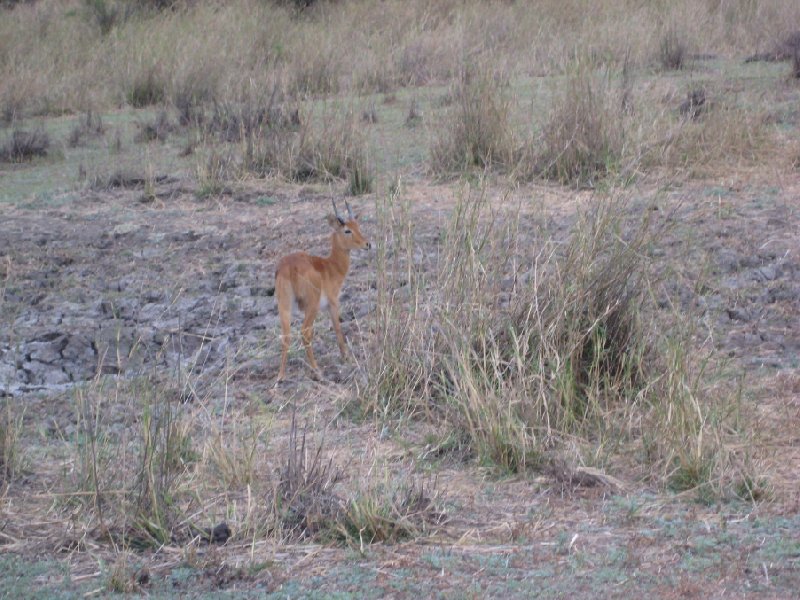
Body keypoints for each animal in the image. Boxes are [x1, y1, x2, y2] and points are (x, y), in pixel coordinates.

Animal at [276, 199, 372, 382]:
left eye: (358, 225)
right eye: (347, 230)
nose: (367, 244)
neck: (331, 267)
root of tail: (289, 267)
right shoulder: (333, 303)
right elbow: (338, 329)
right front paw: (346, 357)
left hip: (284, 306)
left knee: (285, 335)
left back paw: (281, 376)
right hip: (311, 306)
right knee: (305, 332)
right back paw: (317, 370)